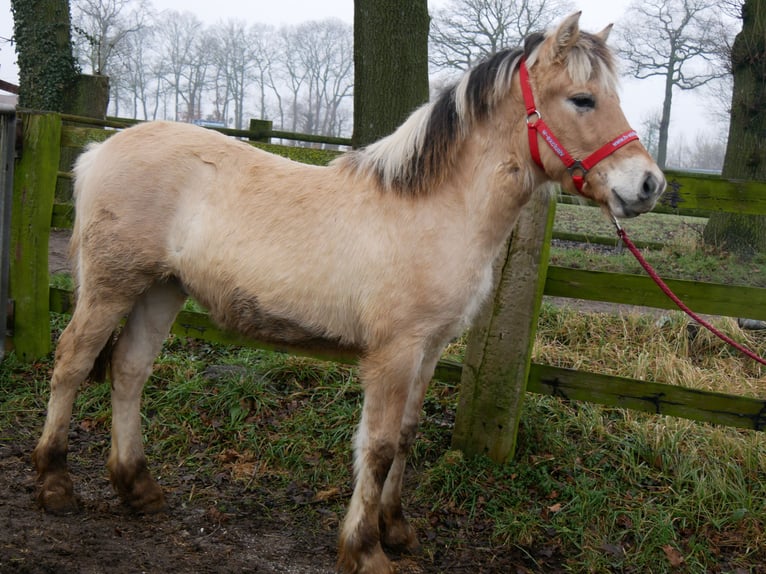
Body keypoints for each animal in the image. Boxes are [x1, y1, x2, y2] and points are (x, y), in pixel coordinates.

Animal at [31, 11, 664, 572]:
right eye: (582, 99)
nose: (649, 185)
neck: (433, 209)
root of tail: (97, 151)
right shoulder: (394, 353)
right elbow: (377, 446)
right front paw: (365, 550)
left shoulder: (429, 349)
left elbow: (406, 436)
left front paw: (397, 529)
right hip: (112, 287)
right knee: (72, 361)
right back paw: (55, 483)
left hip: (161, 290)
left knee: (129, 370)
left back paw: (138, 487)